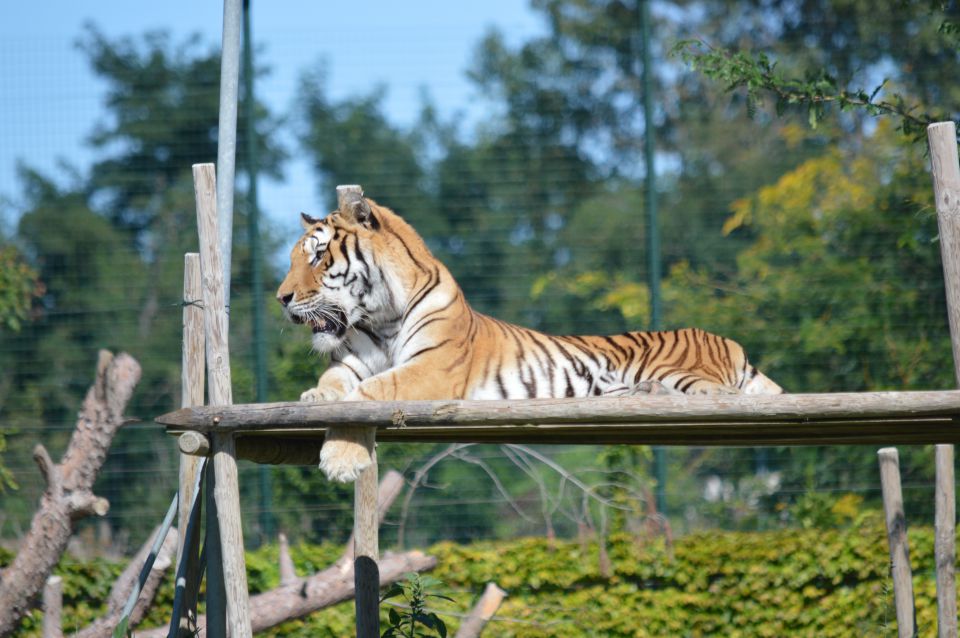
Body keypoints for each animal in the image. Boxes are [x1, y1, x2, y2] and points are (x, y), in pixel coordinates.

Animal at [276, 192, 780, 482]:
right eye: (295, 258)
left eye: (318, 257)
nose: (281, 298)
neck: (379, 316)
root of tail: (728, 341)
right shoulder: (351, 362)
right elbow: (334, 388)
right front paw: (313, 400)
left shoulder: (432, 369)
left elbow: (369, 394)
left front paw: (339, 459)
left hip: (682, 371)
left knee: (728, 399)